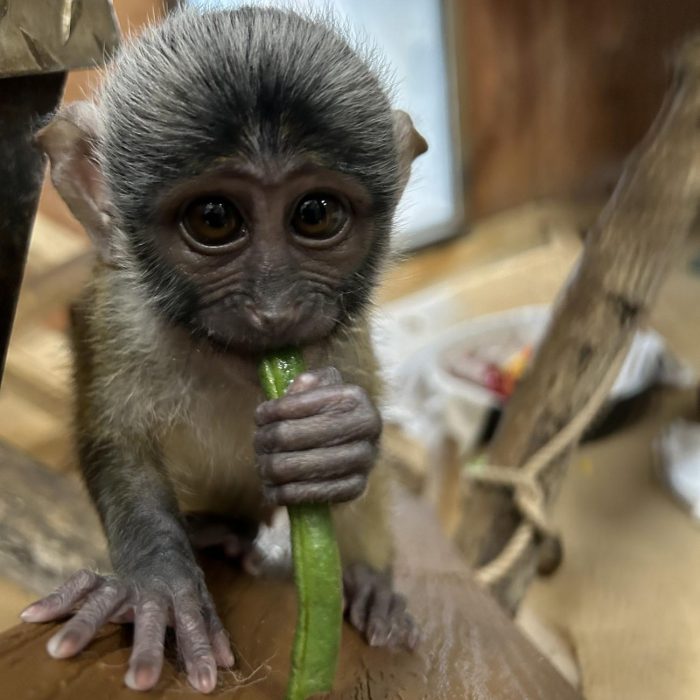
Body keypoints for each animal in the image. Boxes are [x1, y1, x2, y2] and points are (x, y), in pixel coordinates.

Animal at [21, 5, 426, 696]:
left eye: (315, 214)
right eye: (214, 219)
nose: (276, 309)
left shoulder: (340, 334)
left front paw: (334, 439)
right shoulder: (117, 314)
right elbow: (117, 444)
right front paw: (157, 584)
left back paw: (364, 582)